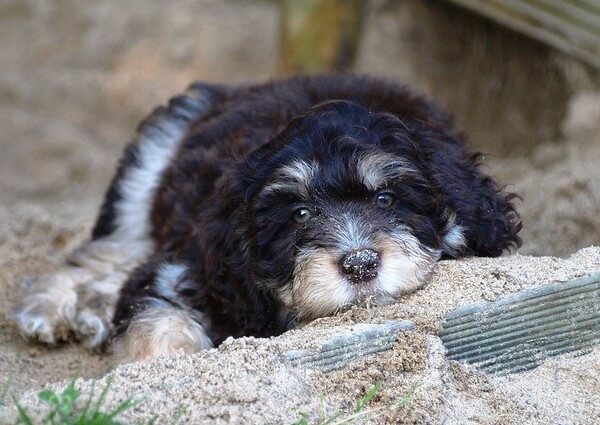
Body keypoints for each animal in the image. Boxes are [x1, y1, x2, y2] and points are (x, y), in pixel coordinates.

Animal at [12, 74, 520, 360]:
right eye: (299, 214)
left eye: (385, 200)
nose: (360, 264)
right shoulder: (186, 268)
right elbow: (158, 327)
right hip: (152, 162)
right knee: (105, 251)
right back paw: (47, 308)